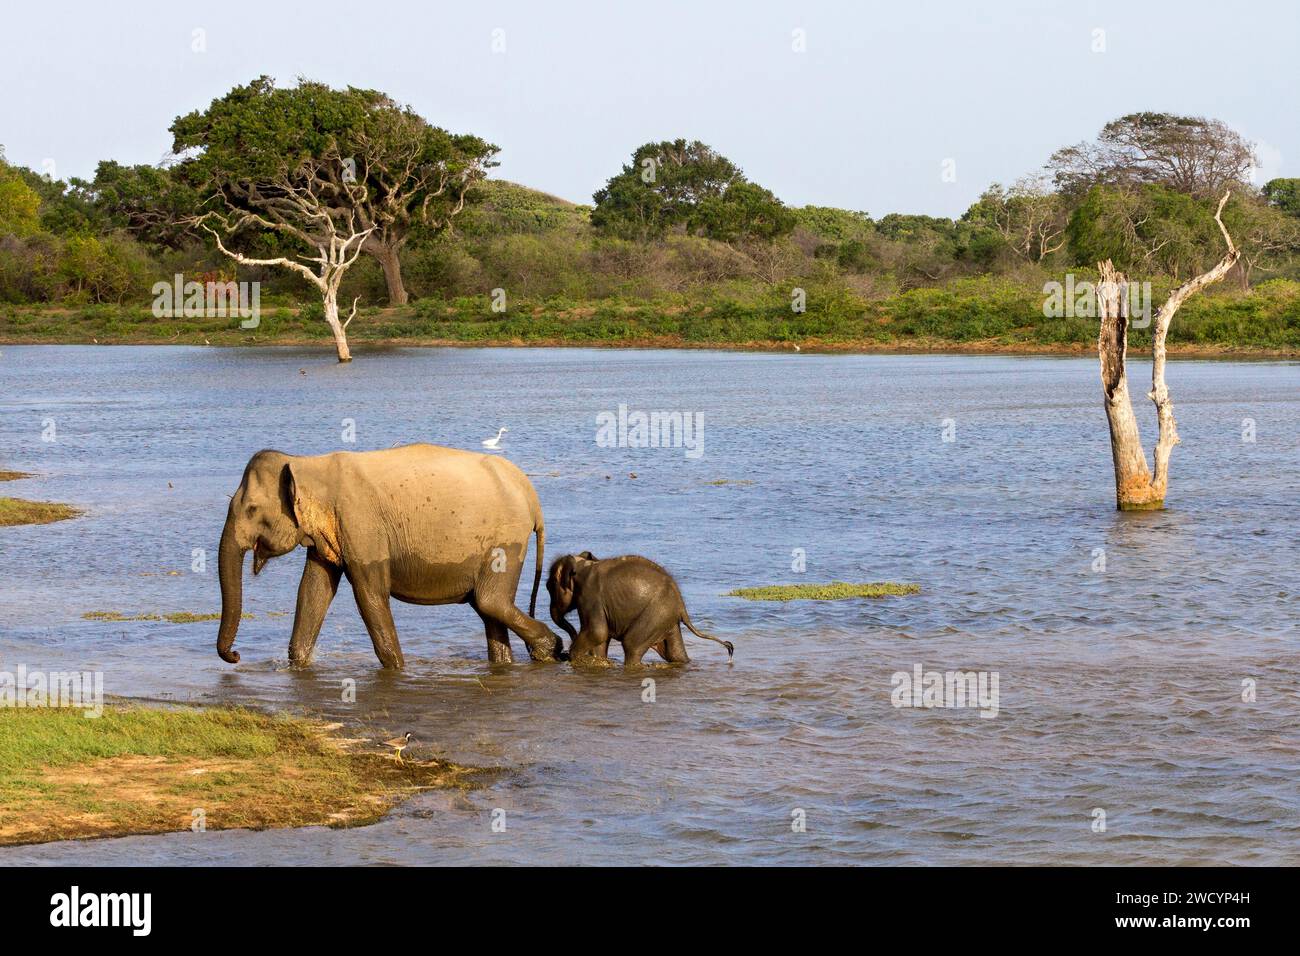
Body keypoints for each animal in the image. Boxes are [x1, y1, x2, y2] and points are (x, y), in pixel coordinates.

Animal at [215, 444, 561, 671]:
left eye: (251, 509)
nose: (236, 656)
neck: (308, 464)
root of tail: (531, 494)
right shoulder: (330, 535)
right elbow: (314, 591)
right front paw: (297, 665)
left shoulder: (361, 525)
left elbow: (370, 595)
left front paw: (397, 670)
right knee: (487, 605)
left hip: (506, 538)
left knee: (490, 601)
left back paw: (550, 650)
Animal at [546, 554, 733, 665]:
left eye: (548, 587)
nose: (563, 650)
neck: (582, 564)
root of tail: (681, 606)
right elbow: (601, 638)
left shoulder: (590, 596)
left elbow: (597, 632)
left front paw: (574, 657)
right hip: (666, 619)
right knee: (674, 653)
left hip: (656, 614)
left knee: (632, 645)